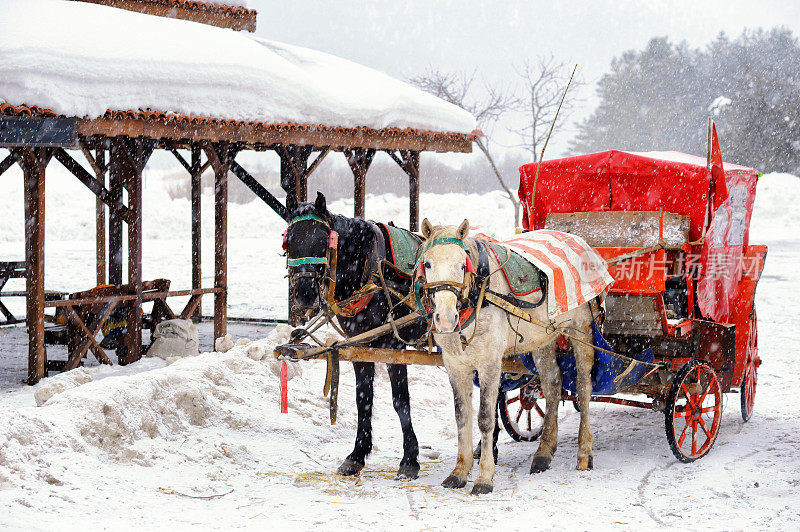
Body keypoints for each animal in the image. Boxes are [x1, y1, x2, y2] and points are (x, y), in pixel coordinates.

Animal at [418, 219, 600, 494]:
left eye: (462, 265)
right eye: (427, 263)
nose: (446, 318)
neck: (479, 295)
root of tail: (580, 241)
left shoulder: (490, 363)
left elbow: (485, 419)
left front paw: (484, 477)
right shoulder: (456, 365)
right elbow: (462, 416)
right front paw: (459, 471)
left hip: (581, 330)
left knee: (583, 387)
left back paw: (584, 451)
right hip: (543, 339)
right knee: (552, 385)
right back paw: (544, 451)